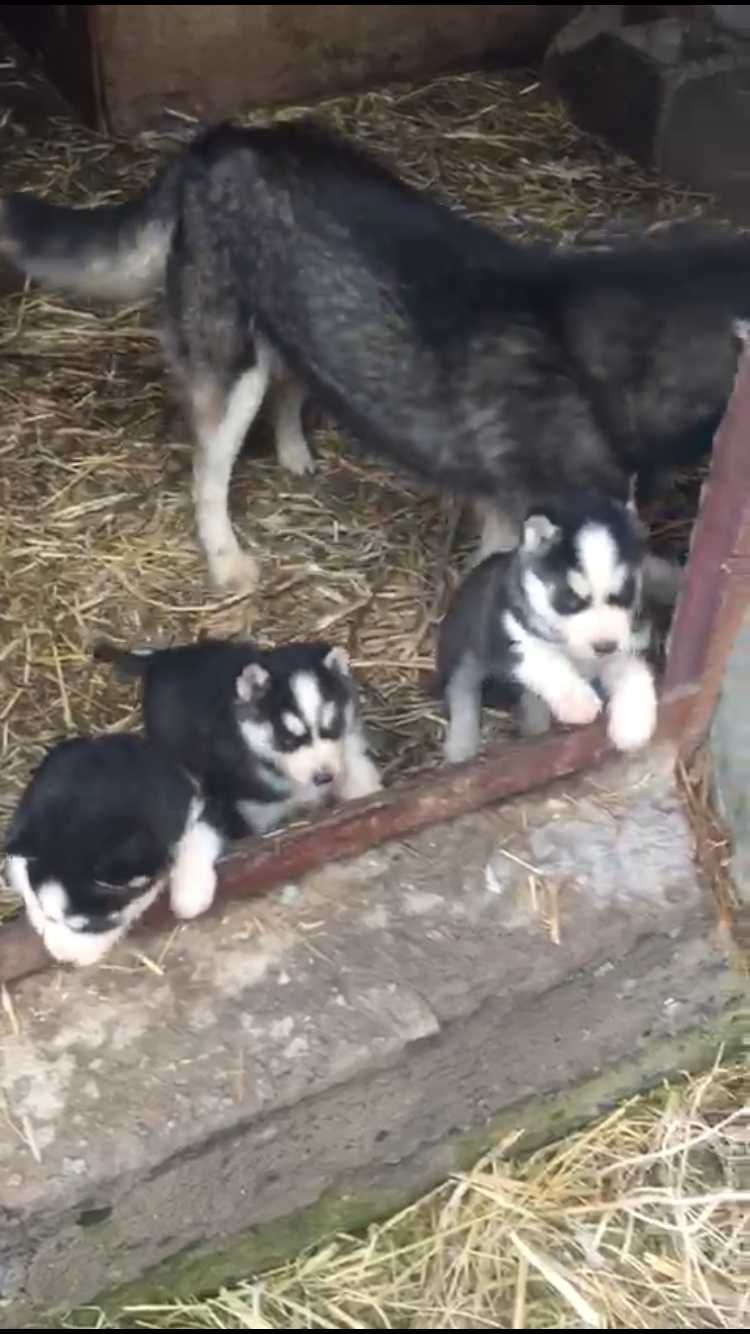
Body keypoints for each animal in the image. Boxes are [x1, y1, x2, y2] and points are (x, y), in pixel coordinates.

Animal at [5, 736, 221, 965]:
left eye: (93, 924)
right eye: (49, 915)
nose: (62, 958)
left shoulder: (192, 801)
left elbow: (198, 835)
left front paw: (191, 894)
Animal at [435, 493, 656, 768]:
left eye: (623, 594)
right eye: (570, 599)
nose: (604, 646)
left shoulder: (623, 648)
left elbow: (634, 672)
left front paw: (633, 724)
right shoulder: (510, 637)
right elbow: (547, 662)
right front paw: (577, 702)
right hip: (463, 649)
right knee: (461, 689)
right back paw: (461, 745)